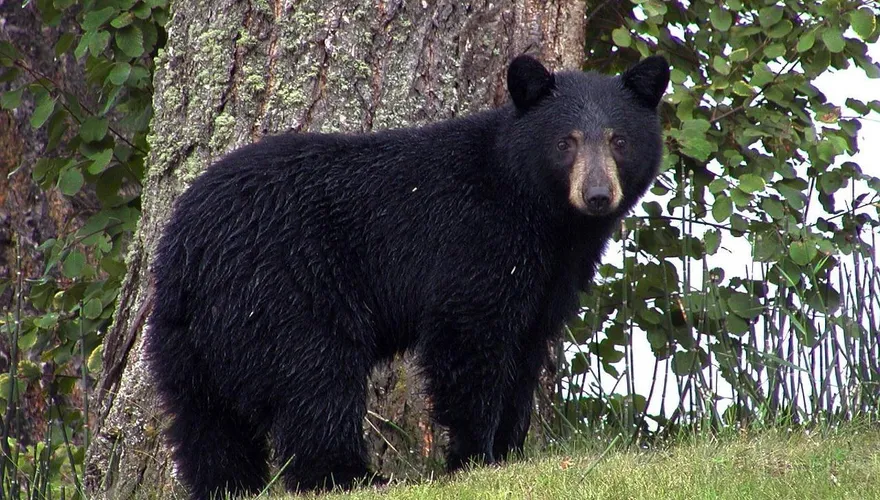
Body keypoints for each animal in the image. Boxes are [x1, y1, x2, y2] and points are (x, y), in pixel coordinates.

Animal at [145, 54, 669, 499]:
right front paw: (474, 459)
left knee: (205, 420)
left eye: (619, 140)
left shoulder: (551, 276)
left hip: (187, 335)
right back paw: (352, 476)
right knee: (315, 381)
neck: (541, 214)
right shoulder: (476, 241)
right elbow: (469, 339)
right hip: (285, 290)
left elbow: (526, 350)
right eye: (566, 142)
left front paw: (510, 453)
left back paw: (227, 485)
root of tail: (187, 248)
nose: (598, 195)